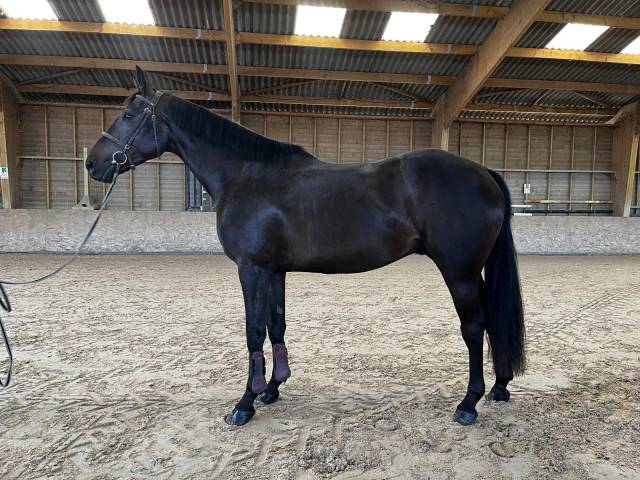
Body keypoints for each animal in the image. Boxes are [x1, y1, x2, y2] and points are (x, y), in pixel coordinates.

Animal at [87, 67, 525, 427]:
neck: (247, 175)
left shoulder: (250, 269)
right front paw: (272, 388)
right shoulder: (274, 270)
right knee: (493, 319)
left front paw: (244, 405)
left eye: (128, 116)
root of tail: (482, 172)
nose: (93, 164)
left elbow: (253, 332)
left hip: (458, 272)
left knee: (474, 326)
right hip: (473, 271)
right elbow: (276, 325)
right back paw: (500, 386)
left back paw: (468, 403)